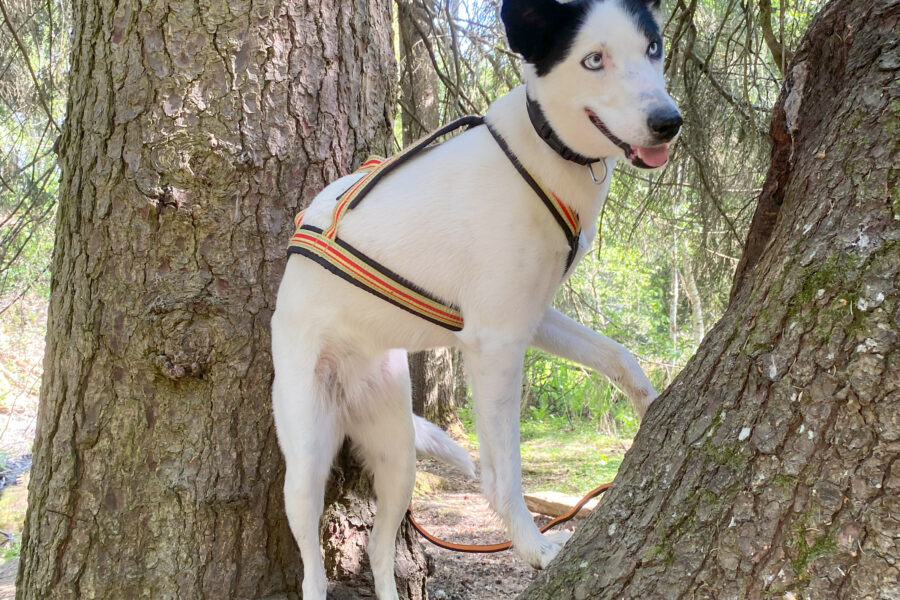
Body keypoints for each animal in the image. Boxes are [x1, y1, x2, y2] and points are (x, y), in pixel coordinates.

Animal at [270, 0, 680, 596]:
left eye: (653, 48)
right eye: (593, 60)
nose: (669, 121)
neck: (540, 151)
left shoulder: (529, 317)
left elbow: (617, 355)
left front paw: (653, 406)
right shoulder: (496, 344)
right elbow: (504, 473)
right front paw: (534, 549)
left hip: (397, 458)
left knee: (378, 549)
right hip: (305, 466)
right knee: (312, 572)